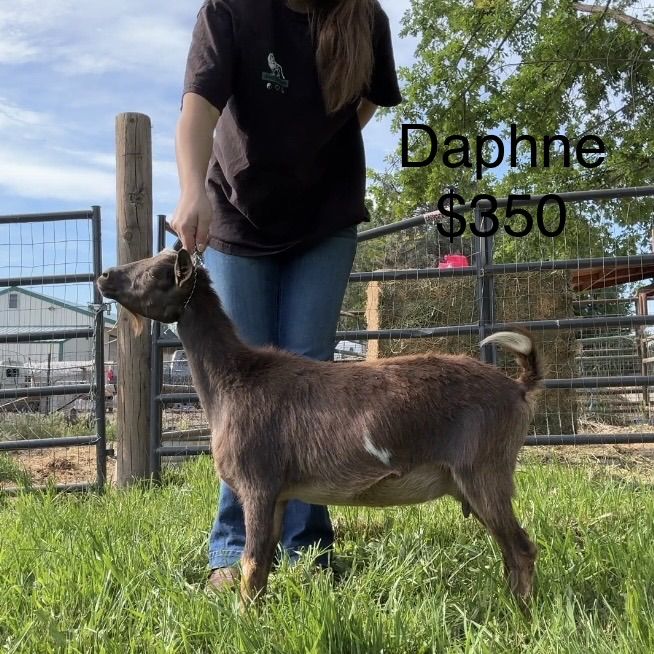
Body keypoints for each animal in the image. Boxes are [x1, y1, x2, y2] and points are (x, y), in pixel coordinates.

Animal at [97, 248, 542, 606]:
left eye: (155, 272)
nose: (104, 276)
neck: (235, 379)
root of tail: (519, 387)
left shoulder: (258, 483)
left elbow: (252, 561)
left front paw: (245, 619)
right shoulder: (278, 494)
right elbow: (262, 563)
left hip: (484, 470)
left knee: (522, 548)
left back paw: (522, 617)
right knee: (510, 550)